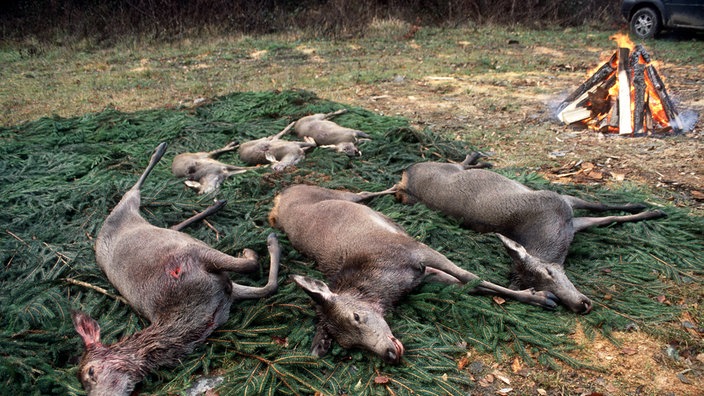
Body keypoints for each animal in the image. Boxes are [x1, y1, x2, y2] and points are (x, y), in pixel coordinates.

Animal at [72, 143, 280, 396]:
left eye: (91, 371)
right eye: (83, 386)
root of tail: (100, 233)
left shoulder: (192, 256)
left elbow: (252, 266)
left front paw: (261, 245)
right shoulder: (227, 295)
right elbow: (268, 286)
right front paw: (264, 245)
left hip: (124, 209)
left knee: (133, 191)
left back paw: (161, 150)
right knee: (173, 225)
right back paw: (215, 204)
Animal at [270, 184, 560, 364]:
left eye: (357, 317)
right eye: (349, 344)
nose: (388, 354)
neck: (387, 284)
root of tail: (280, 197)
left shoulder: (417, 250)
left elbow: (470, 276)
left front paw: (540, 296)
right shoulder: (423, 275)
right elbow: (472, 286)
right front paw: (535, 295)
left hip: (334, 192)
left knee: (362, 192)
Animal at [396, 153, 664, 314]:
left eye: (550, 271)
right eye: (536, 286)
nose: (581, 305)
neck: (554, 236)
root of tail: (404, 178)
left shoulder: (561, 201)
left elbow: (605, 209)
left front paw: (647, 209)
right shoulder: (567, 214)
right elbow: (607, 215)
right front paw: (650, 210)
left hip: (442, 167)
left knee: (458, 163)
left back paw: (478, 159)